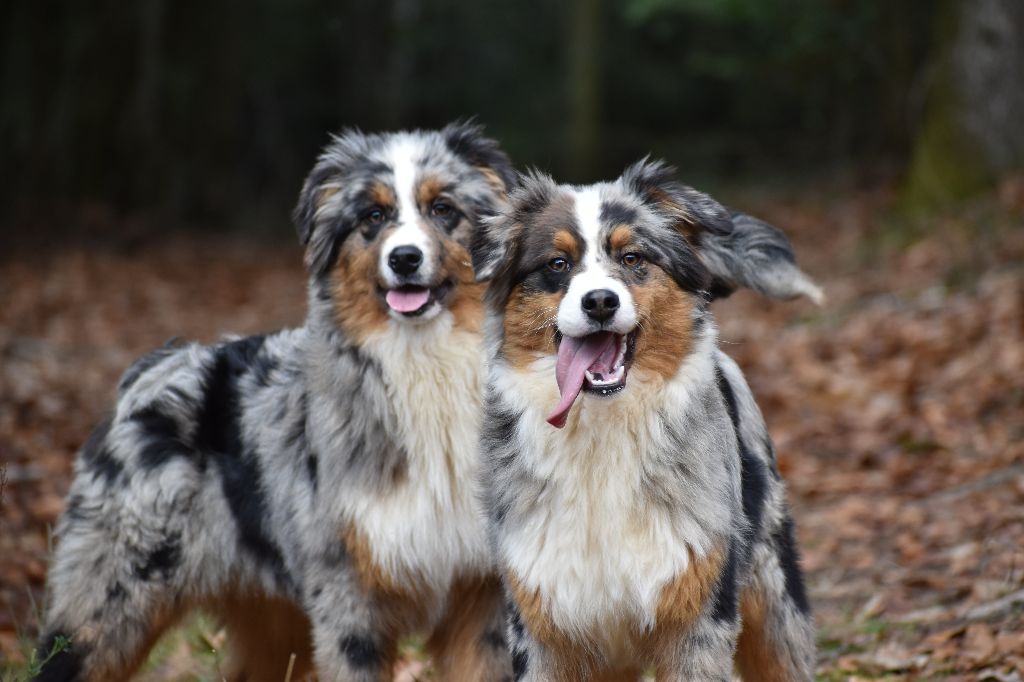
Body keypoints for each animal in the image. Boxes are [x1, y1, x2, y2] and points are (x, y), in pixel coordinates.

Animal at [36, 123, 516, 679]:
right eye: (372, 217)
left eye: (443, 209)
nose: (404, 259)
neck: (429, 366)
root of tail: (153, 368)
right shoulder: (348, 595)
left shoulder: (481, 593)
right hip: (108, 604)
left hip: (273, 622)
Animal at [475, 160, 819, 679]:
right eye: (557, 264)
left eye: (633, 257)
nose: (600, 301)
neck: (603, 430)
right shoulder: (542, 620)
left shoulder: (697, 609)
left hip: (773, 593)